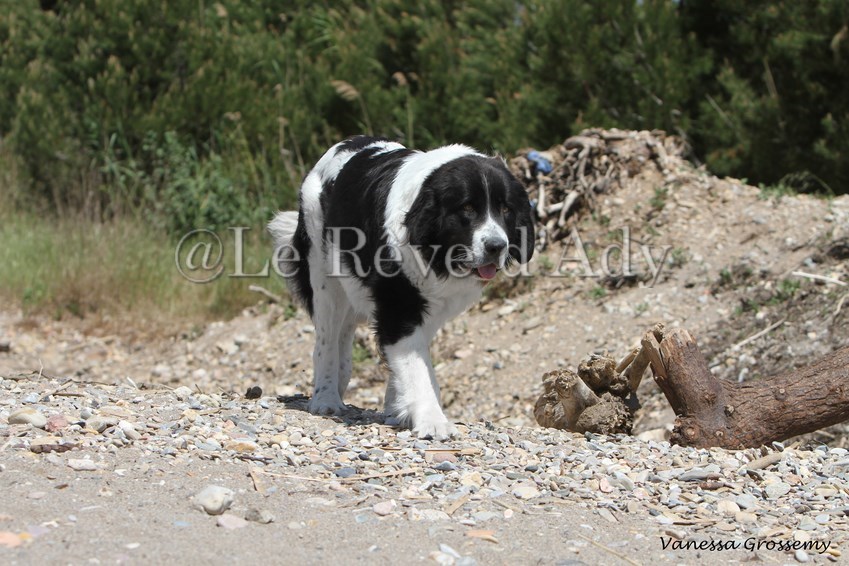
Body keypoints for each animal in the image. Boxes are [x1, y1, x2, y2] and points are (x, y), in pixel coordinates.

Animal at [269, 136, 534, 439]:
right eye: (467, 209)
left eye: (506, 210)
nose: (496, 246)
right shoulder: (399, 308)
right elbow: (416, 367)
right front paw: (432, 420)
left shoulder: (432, 308)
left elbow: (414, 364)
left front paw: (399, 410)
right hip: (324, 276)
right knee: (326, 340)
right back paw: (326, 398)